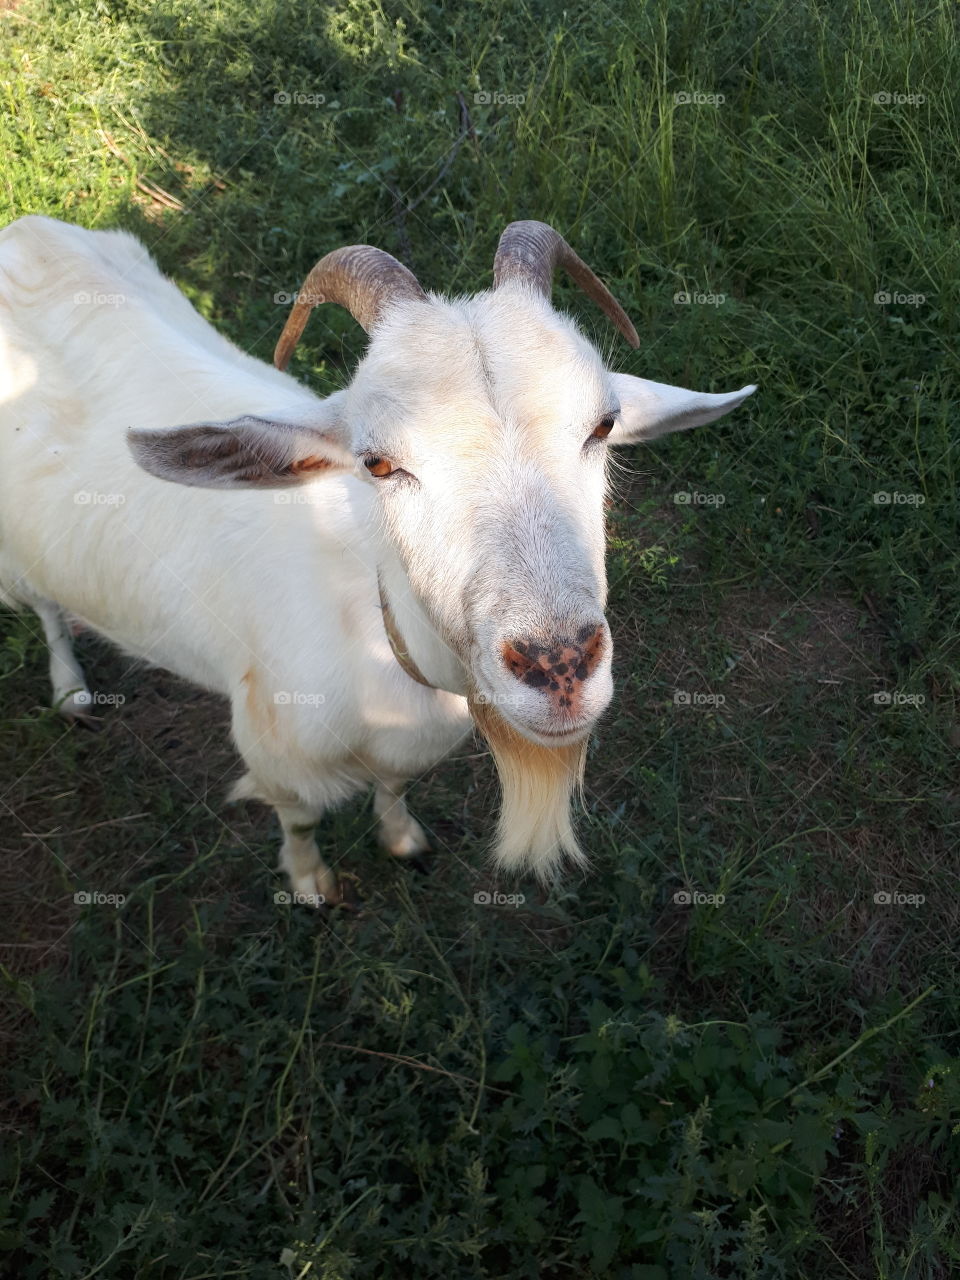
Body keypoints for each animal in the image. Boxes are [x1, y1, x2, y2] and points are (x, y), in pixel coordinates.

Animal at [0, 215, 752, 906]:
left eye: (602, 425)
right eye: (379, 463)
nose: (560, 667)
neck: (375, 635)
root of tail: (24, 231)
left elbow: (393, 787)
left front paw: (402, 840)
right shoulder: (275, 756)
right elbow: (300, 821)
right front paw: (310, 884)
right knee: (44, 606)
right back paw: (71, 691)